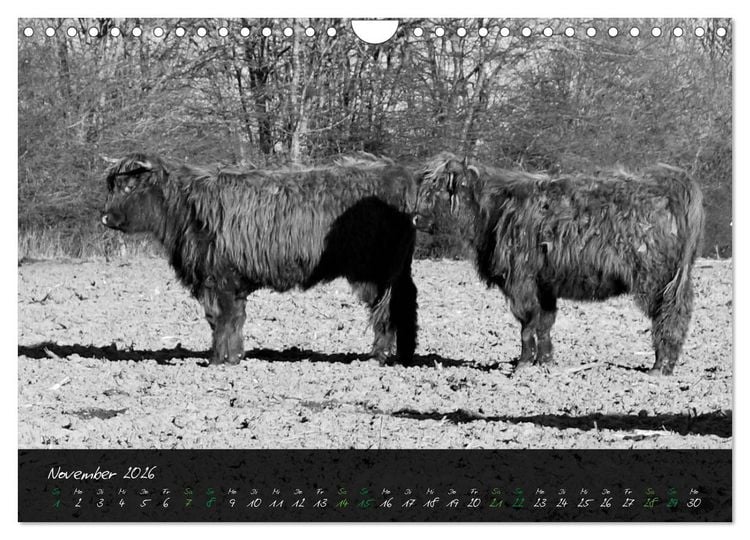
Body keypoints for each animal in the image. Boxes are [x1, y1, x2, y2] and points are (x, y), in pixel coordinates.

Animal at [101, 153, 419, 366]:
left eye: (130, 187)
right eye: (113, 188)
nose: (105, 217)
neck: (183, 212)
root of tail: (399, 175)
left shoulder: (218, 278)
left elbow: (222, 318)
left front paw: (218, 360)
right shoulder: (229, 281)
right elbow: (233, 319)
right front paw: (234, 356)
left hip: (376, 272)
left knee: (384, 309)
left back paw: (378, 356)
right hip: (400, 269)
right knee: (406, 302)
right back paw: (405, 354)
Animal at [417, 154, 704, 375]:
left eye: (436, 189)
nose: (415, 218)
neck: (492, 210)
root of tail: (668, 184)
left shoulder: (520, 280)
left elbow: (527, 325)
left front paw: (522, 366)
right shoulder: (544, 285)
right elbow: (544, 324)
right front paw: (545, 363)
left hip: (657, 279)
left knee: (668, 315)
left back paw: (659, 368)